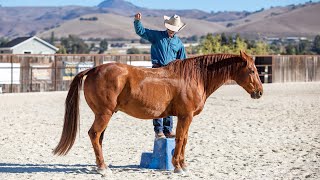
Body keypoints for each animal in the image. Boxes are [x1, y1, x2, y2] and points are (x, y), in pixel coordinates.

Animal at [52, 50, 262, 174]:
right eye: (252, 71)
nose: (259, 92)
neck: (194, 77)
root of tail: (94, 69)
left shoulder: (186, 117)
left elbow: (185, 139)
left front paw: (183, 164)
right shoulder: (185, 116)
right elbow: (180, 139)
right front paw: (178, 167)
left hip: (103, 115)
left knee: (99, 138)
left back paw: (100, 166)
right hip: (104, 114)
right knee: (94, 135)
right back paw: (103, 168)